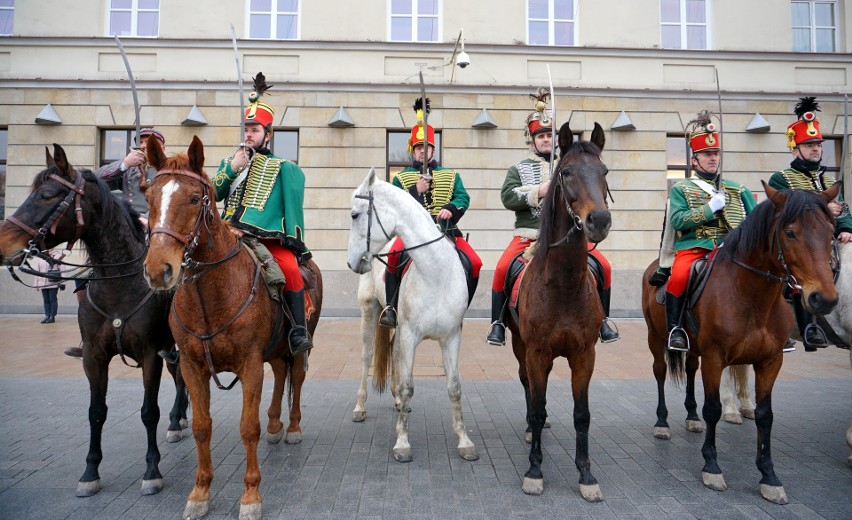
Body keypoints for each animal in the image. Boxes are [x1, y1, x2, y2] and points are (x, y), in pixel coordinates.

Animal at [0, 144, 188, 498]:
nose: (4, 244)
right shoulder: (94, 356)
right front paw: (90, 472)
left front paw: (152, 471)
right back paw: (178, 419)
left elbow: (148, 412)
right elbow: (96, 412)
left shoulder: (150, 354)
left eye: (45, 195)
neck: (119, 283)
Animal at [143, 135, 322, 520]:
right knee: (281, 373)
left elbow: (247, 428)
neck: (210, 297)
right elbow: (201, 427)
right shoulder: (192, 367)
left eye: (195, 198)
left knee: (296, 376)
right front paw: (200, 492)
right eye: (148, 196)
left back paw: (292, 426)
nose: (158, 270)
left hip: (301, 342)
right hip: (274, 349)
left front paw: (251, 496)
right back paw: (275, 424)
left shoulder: (250, 364)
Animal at [346, 167, 480, 464]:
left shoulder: (451, 337)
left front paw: (464, 440)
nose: (351, 262)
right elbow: (408, 386)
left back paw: (396, 402)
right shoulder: (410, 334)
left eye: (355, 215)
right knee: (366, 356)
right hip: (369, 310)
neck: (436, 272)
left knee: (394, 354)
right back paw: (360, 407)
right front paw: (402, 443)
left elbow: (454, 386)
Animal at [506, 120, 612, 502]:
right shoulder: (536, 352)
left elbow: (582, 415)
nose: (599, 220)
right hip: (519, 344)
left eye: (604, 171)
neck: (564, 285)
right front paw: (534, 470)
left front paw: (586, 474)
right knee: (527, 384)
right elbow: (536, 408)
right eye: (566, 173)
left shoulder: (584, 355)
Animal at [640, 183, 840, 504]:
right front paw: (711, 466)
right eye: (790, 232)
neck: (752, 296)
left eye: (830, 231)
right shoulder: (715, 358)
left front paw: (769, 475)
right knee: (660, 373)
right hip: (656, 338)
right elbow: (713, 409)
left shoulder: (770, 361)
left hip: (693, 349)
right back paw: (662, 423)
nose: (825, 298)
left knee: (691, 372)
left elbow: (765, 415)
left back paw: (691, 417)